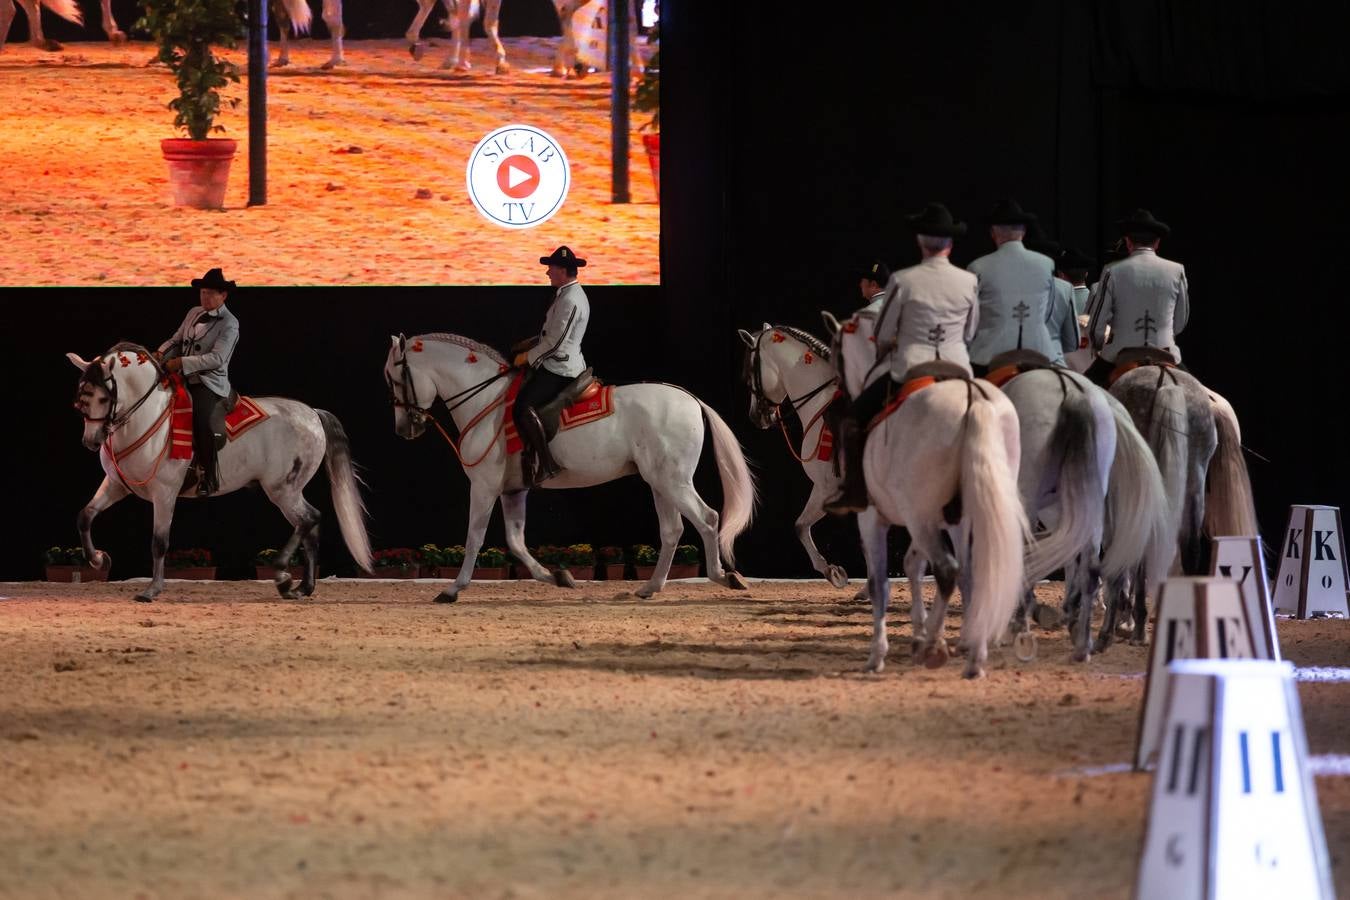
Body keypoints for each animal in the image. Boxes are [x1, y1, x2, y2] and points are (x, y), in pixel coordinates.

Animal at [66, 341, 372, 601]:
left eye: (103, 399)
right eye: (81, 398)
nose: (91, 441)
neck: (148, 416)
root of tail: (313, 414)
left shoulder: (164, 493)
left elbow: (159, 542)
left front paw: (152, 590)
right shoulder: (116, 484)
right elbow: (85, 516)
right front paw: (99, 559)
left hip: (283, 489)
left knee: (309, 519)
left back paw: (283, 576)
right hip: (289, 491)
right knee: (310, 526)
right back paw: (303, 587)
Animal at [386, 334, 756, 601]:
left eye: (395, 379)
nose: (404, 429)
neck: (486, 401)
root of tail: (689, 398)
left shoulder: (484, 486)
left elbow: (475, 538)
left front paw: (452, 589)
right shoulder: (512, 490)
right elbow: (516, 541)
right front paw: (557, 577)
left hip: (673, 480)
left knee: (707, 519)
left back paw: (724, 578)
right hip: (660, 482)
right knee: (672, 530)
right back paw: (650, 588)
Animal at [804, 319, 1026, 680]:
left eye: (837, 356)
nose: (838, 400)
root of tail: (972, 401)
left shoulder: (873, 518)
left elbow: (880, 582)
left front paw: (879, 653)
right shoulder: (953, 521)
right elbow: (929, 568)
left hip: (920, 517)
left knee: (947, 570)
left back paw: (933, 646)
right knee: (975, 572)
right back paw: (972, 655)